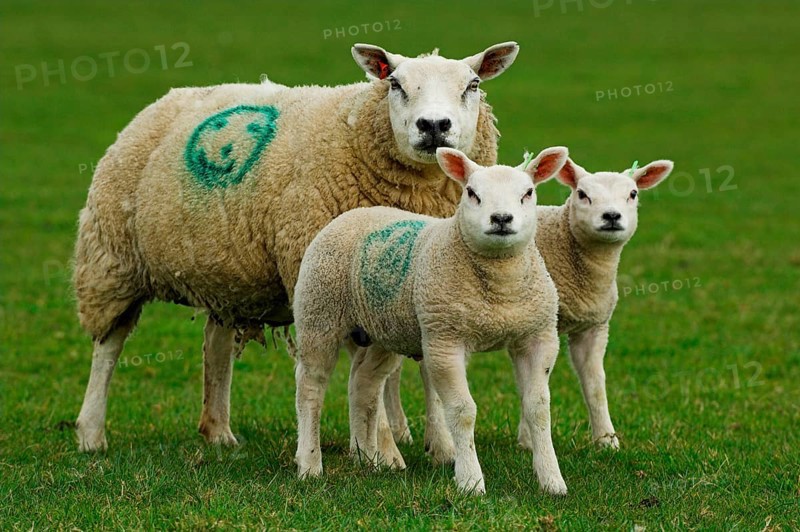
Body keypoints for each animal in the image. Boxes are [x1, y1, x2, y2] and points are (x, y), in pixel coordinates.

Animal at [73, 41, 520, 452]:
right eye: (394, 83)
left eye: (473, 84)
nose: (434, 125)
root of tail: (167, 99)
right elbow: (368, 375)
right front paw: (381, 449)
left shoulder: (426, 281)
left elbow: (424, 368)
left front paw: (439, 447)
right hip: (112, 261)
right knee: (108, 347)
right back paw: (91, 434)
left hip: (225, 272)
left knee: (215, 343)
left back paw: (218, 432)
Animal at [292, 146, 570, 495]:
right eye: (472, 193)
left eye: (528, 193)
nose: (501, 219)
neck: (500, 292)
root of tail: (354, 213)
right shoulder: (444, 340)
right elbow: (463, 411)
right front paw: (470, 481)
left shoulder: (538, 338)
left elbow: (538, 408)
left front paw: (552, 480)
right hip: (319, 313)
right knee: (310, 387)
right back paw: (309, 464)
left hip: (384, 329)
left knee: (364, 383)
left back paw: (369, 459)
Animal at [404, 156, 675, 461]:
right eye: (582, 194)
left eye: (633, 194)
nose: (612, 216)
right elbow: (528, 385)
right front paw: (528, 440)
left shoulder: (592, 326)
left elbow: (594, 382)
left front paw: (606, 440)